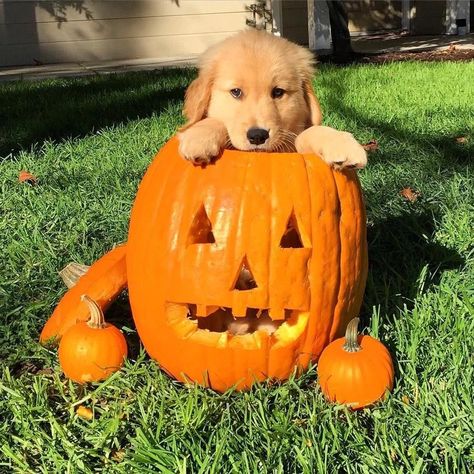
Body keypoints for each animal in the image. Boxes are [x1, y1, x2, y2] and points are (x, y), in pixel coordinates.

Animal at [178, 28, 366, 169]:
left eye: (278, 92)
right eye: (236, 92)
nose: (257, 136)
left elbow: (310, 132)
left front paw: (340, 143)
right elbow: (214, 121)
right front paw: (198, 137)